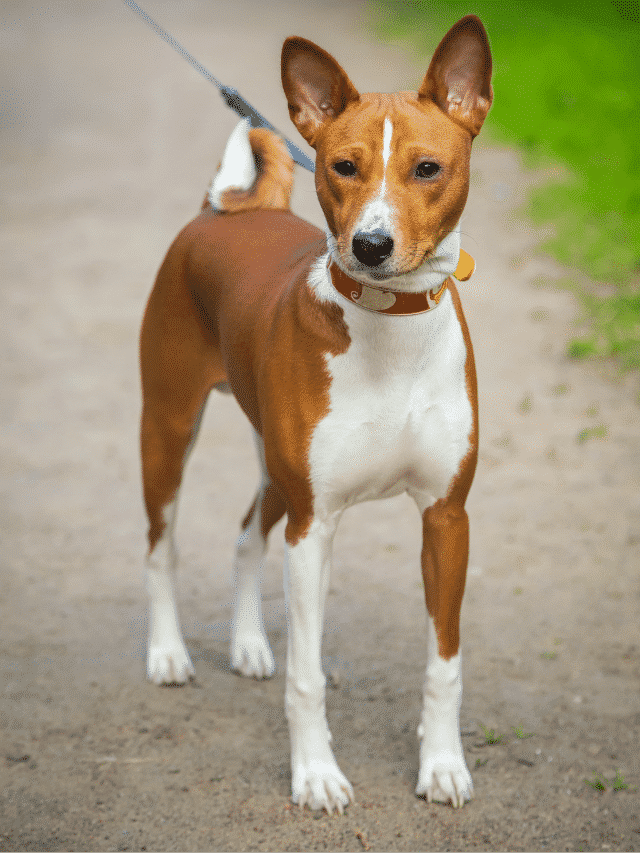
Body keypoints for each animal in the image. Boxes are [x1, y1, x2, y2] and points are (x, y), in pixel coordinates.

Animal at [139, 15, 490, 812]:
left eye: (428, 168)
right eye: (343, 166)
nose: (371, 244)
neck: (391, 333)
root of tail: (222, 212)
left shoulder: (446, 517)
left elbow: (445, 664)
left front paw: (442, 765)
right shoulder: (316, 522)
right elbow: (308, 675)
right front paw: (317, 774)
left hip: (275, 465)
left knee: (245, 536)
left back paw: (246, 643)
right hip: (169, 431)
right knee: (162, 546)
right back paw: (168, 652)